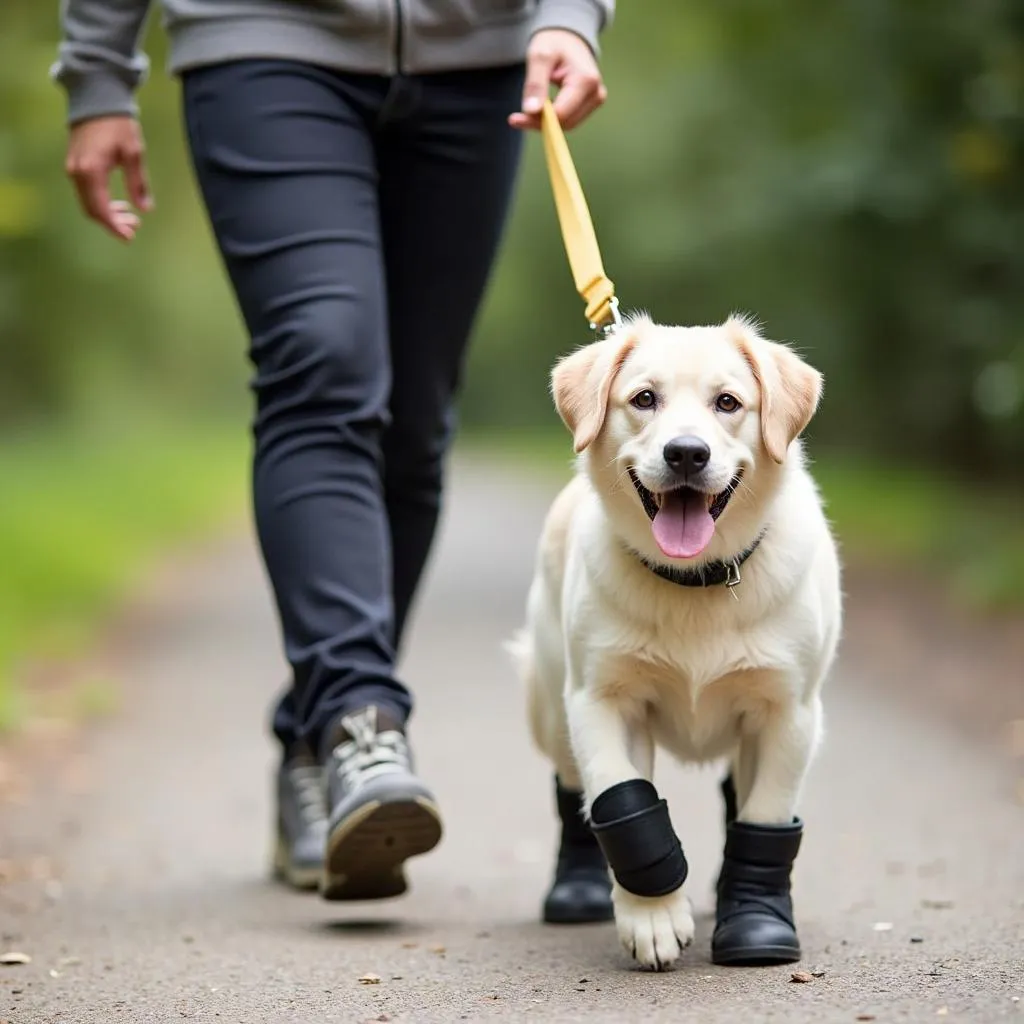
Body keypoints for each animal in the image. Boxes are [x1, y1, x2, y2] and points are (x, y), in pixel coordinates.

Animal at [509, 315, 839, 970]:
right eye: (643, 399)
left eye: (728, 403)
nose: (686, 452)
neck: (695, 579)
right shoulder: (600, 699)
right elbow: (620, 800)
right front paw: (654, 914)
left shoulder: (789, 712)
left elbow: (765, 814)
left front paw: (755, 922)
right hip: (550, 704)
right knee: (572, 791)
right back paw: (578, 888)